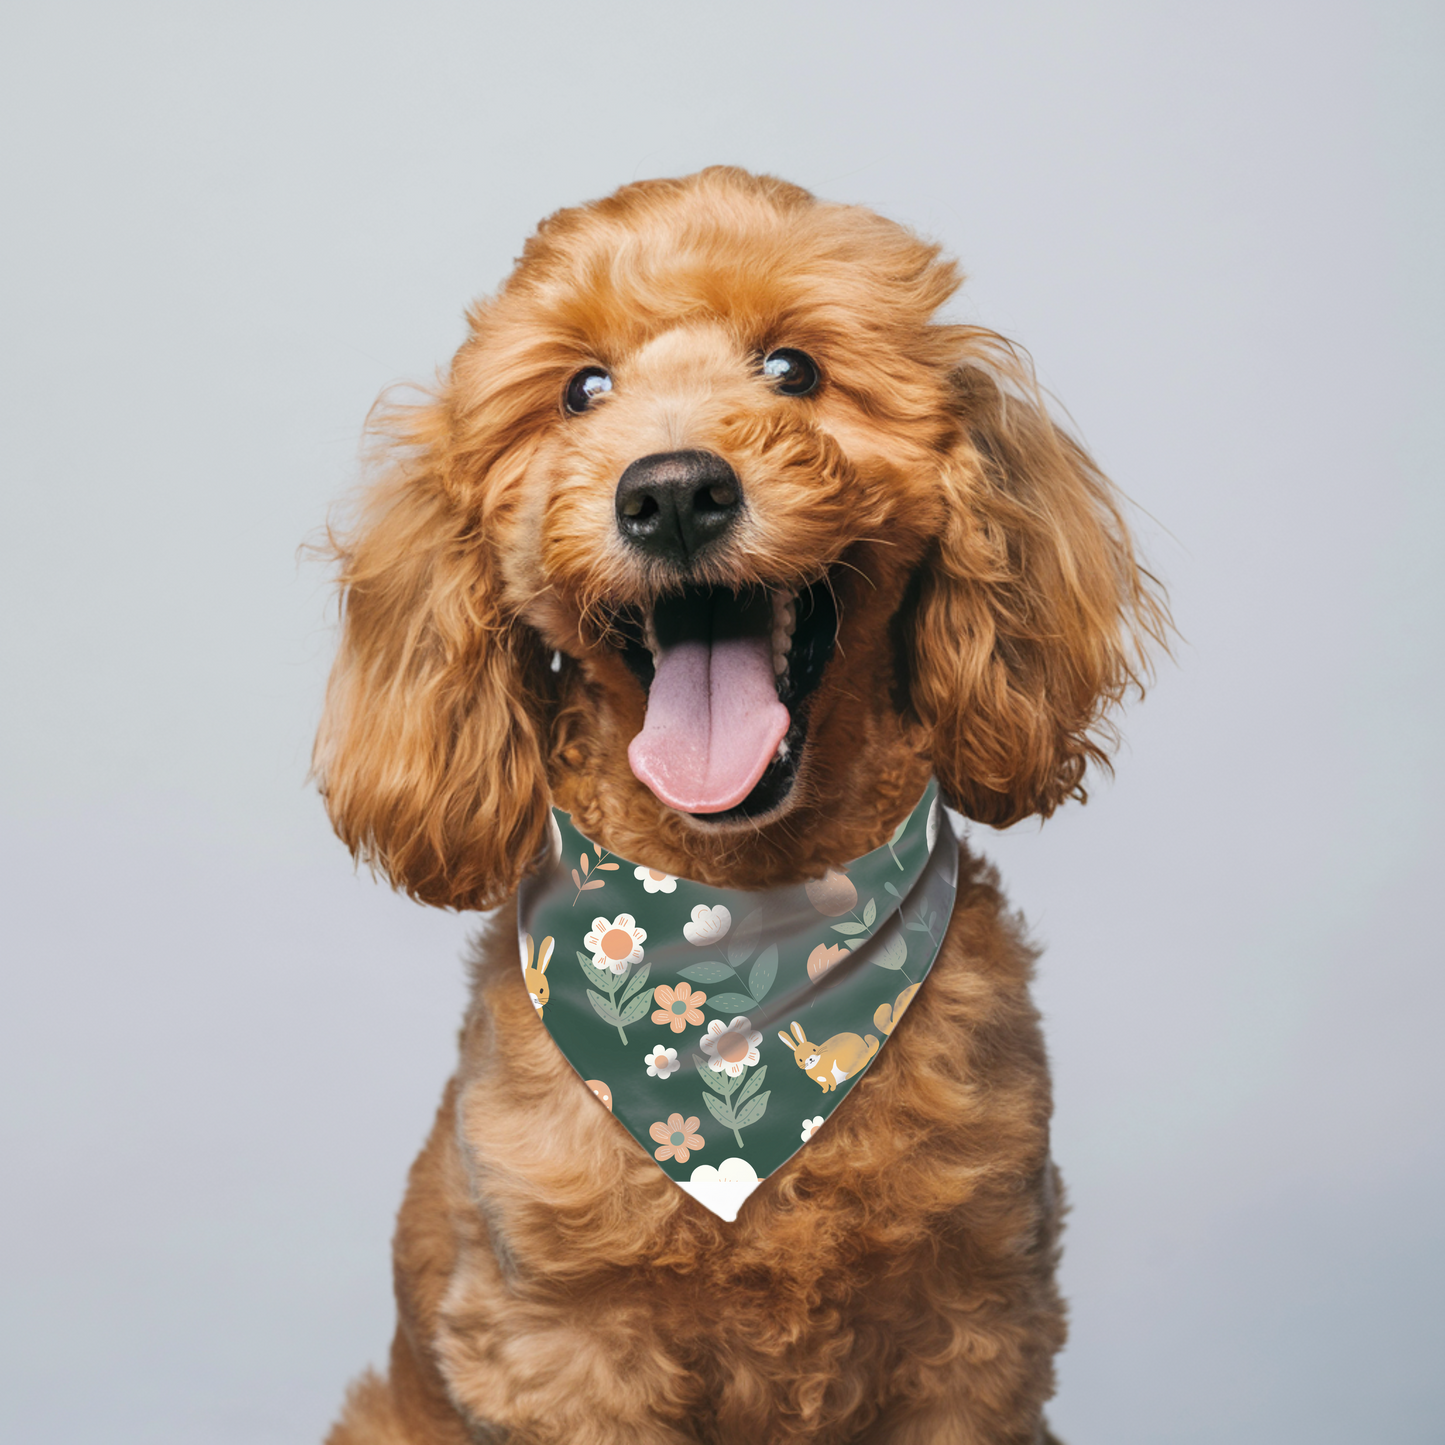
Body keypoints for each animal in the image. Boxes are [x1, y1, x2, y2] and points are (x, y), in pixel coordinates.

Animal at [313, 164, 1161, 1439]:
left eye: (792, 368)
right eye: (581, 390)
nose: (671, 491)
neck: (735, 924)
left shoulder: (975, 1328)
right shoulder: (563, 1346)